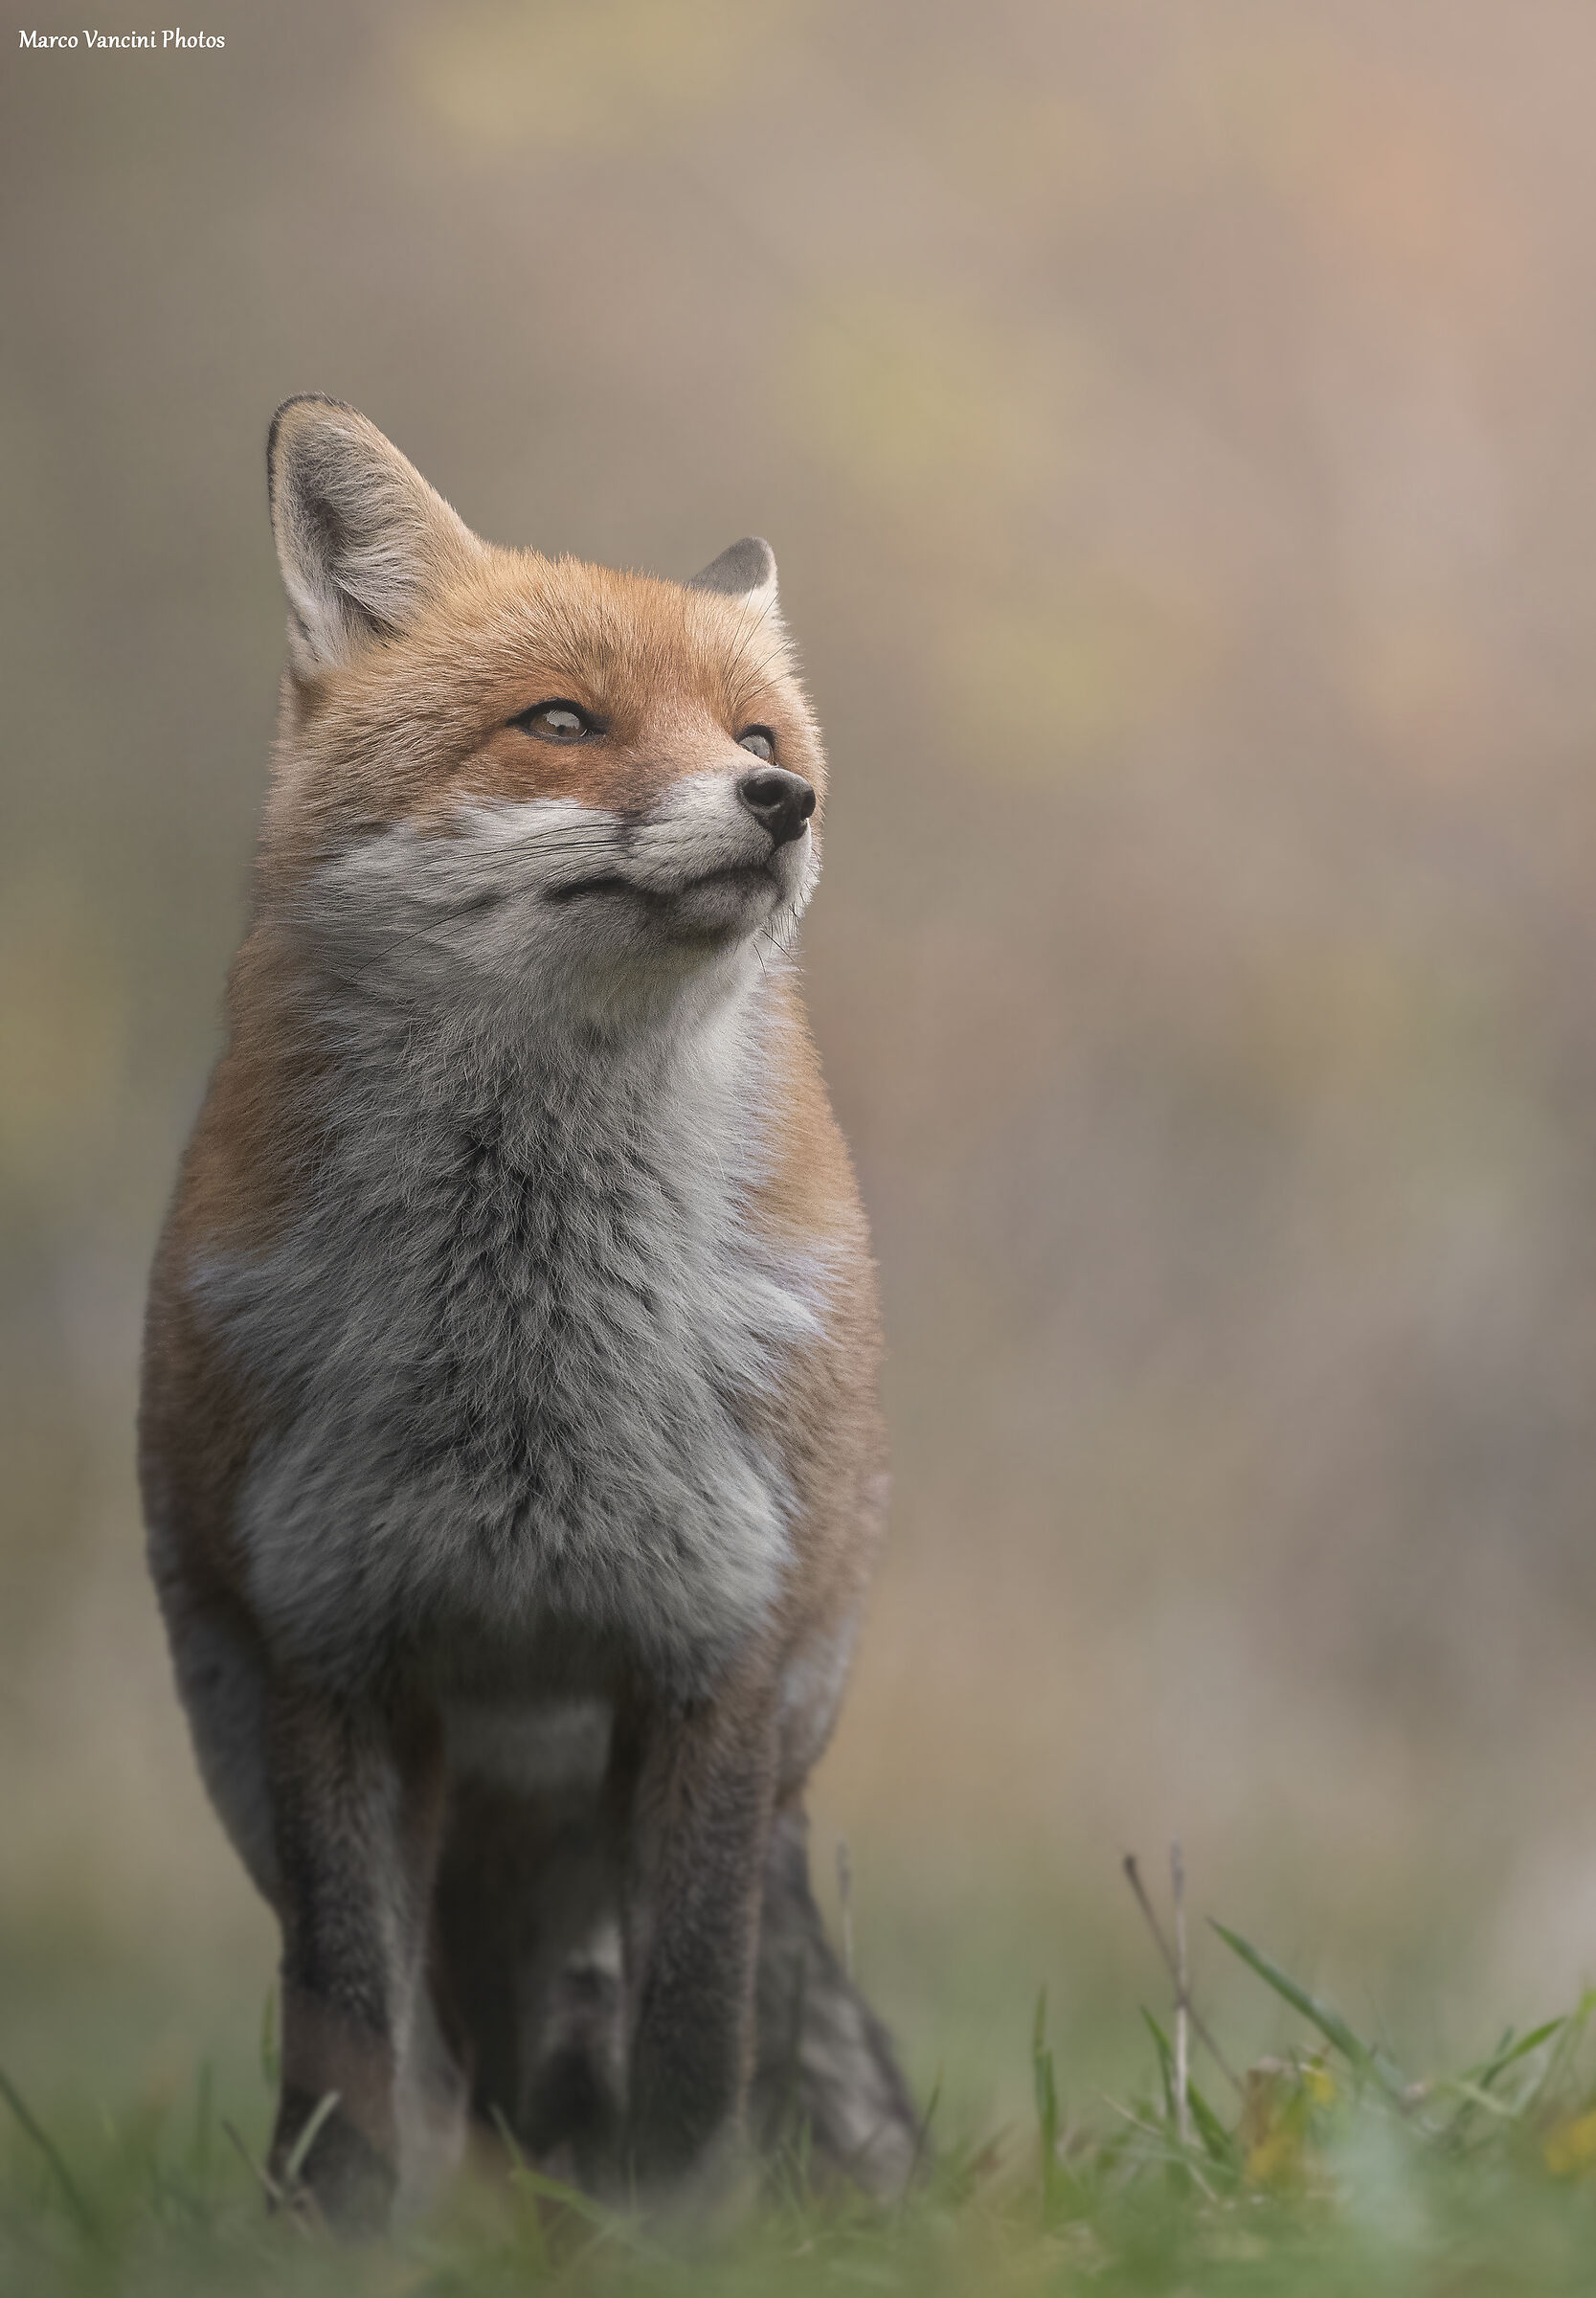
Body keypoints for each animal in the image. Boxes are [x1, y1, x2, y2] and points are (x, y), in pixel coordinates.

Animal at [137, 398, 917, 2231]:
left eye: (755, 731)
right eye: (561, 723)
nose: (782, 800)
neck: (523, 1371)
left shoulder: (711, 1652)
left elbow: (695, 2032)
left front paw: (679, 2238)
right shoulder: (331, 1654)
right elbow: (349, 2031)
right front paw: (338, 2246)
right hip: (258, 1755)